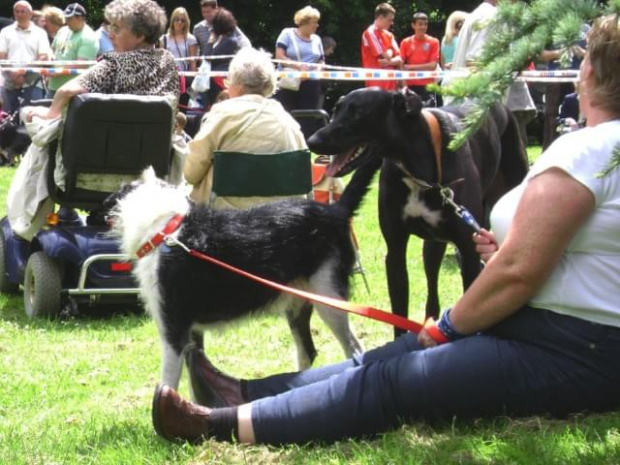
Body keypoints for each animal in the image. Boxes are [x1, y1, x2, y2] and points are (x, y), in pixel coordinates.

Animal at [104, 160, 380, 392]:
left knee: (354, 348)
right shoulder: (193, 333)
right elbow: (196, 382)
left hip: (330, 299)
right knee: (307, 352)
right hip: (297, 305)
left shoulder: (173, 330)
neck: (165, 231)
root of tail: (336, 211)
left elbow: (168, 385)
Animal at [308, 87, 528, 336]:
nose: (312, 141)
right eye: (336, 109)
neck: (418, 171)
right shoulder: (395, 252)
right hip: (433, 245)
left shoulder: (469, 250)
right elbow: (398, 314)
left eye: (359, 112)